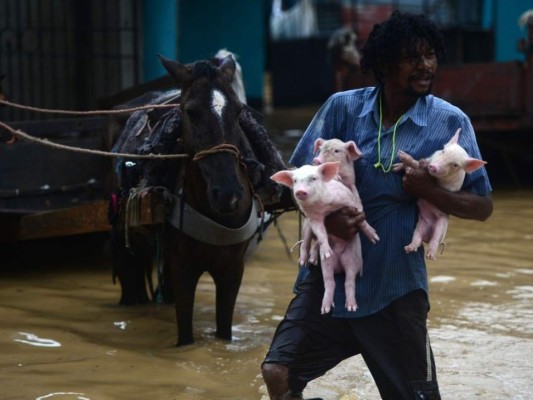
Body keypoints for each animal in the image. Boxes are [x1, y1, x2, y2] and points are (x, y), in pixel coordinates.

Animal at [108, 54, 286, 346]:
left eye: (239, 111)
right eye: (191, 112)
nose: (228, 194)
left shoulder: (232, 269)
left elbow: (224, 330)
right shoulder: (184, 268)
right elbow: (185, 333)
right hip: (125, 243)